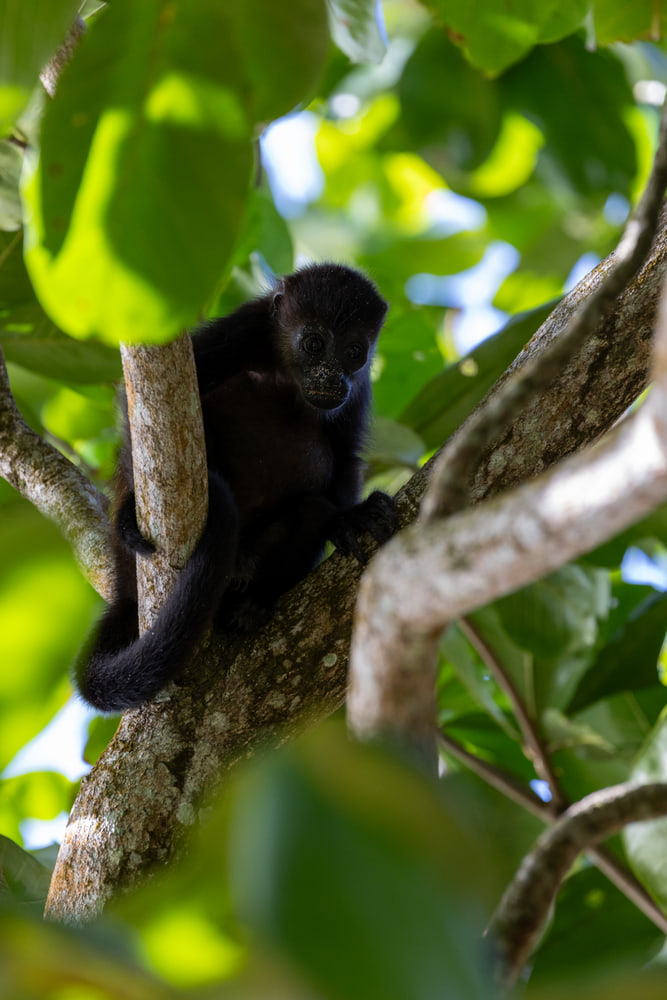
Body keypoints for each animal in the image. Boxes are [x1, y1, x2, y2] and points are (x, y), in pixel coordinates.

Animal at [75, 263, 397, 712]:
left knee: (313, 509)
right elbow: (136, 405)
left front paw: (352, 518)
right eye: (314, 344)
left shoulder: (359, 386)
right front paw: (126, 514)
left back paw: (251, 603)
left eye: (353, 352)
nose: (332, 377)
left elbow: (345, 457)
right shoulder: (244, 328)